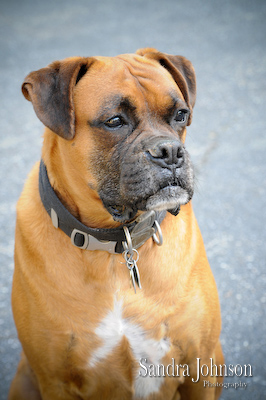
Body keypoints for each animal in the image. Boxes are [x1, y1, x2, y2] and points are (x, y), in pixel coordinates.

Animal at [9, 48, 223, 398]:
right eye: (114, 121)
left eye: (180, 114)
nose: (170, 151)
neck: (115, 245)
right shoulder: (54, 379)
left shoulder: (200, 367)